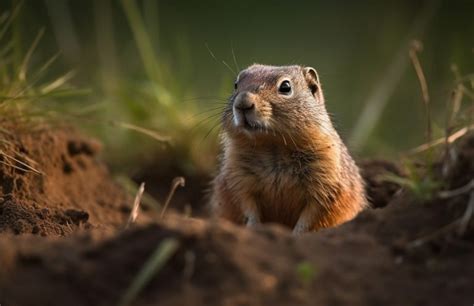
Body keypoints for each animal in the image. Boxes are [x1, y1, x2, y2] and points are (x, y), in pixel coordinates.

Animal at [209, 63, 368, 233]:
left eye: (285, 87)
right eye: (236, 85)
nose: (242, 102)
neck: (273, 145)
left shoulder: (327, 178)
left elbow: (313, 213)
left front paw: (296, 234)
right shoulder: (237, 176)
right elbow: (245, 205)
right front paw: (253, 228)